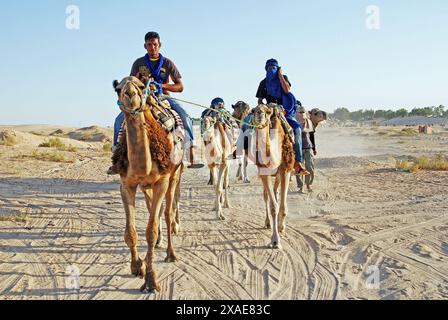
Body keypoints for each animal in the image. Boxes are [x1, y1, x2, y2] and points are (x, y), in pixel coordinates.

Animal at [114, 76, 184, 294]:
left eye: (141, 86)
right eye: (118, 88)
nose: (130, 94)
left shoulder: (162, 181)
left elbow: (151, 231)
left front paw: (151, 280)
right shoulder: (126, 183)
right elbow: (130, 232)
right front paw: (137, 266)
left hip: (174, 175)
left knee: (168, 213)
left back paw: (171, 253)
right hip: (146, 187)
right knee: (156, 208)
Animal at [248, 104, 294, 249]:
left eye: (268, 112)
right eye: (253, 110)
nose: (259, 114)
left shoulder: (285, 171)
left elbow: (282, 204)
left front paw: (281, 227)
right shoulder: (264, 173)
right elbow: (273, 205)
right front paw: (275, 240)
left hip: (279, 174)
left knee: (276, 192)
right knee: (267, 196)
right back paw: (268, 222)